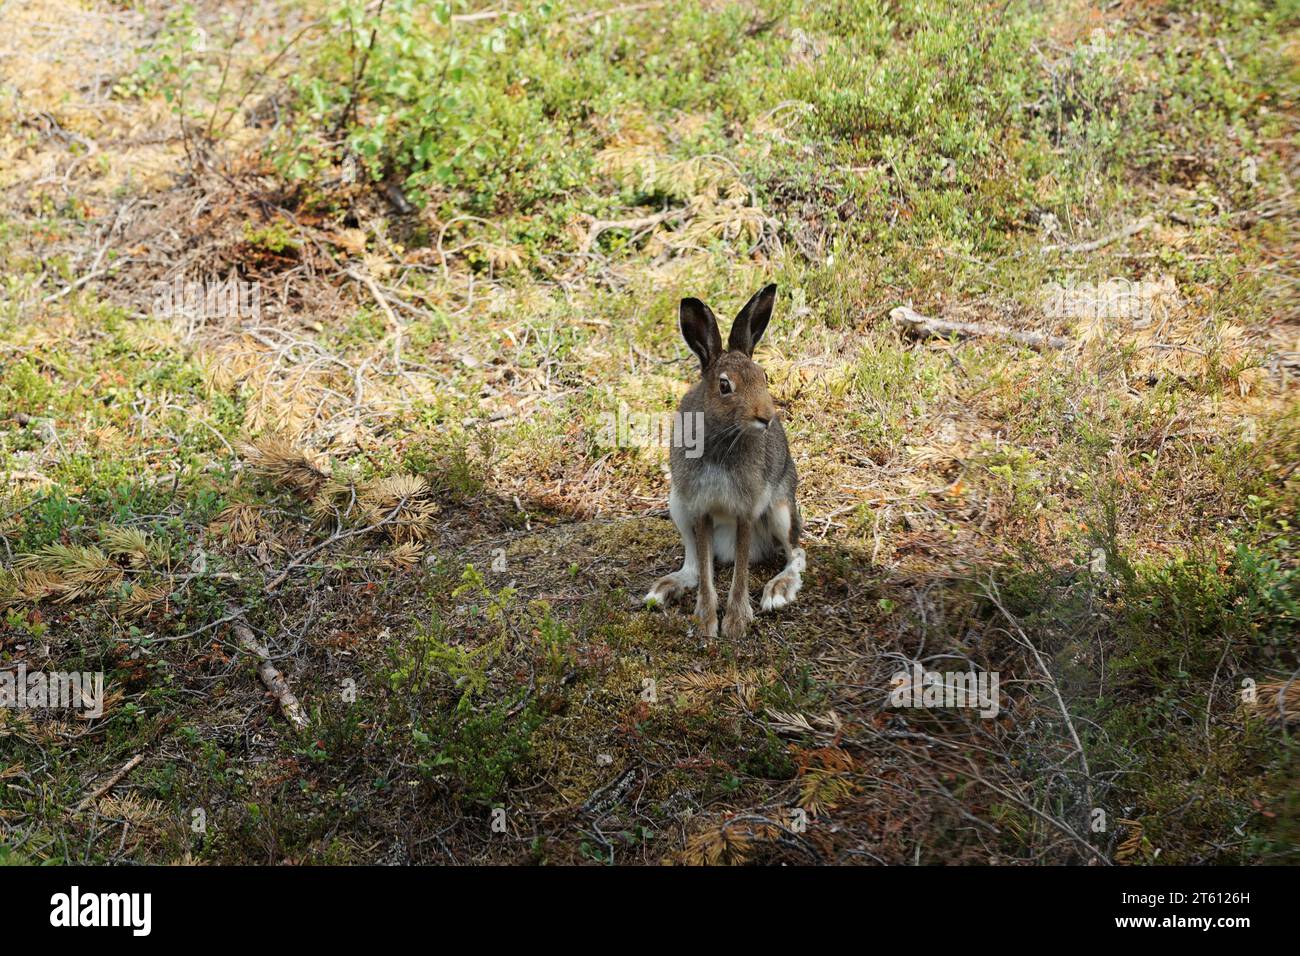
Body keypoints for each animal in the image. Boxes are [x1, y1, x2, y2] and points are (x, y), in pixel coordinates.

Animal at [645, 284, 805, 640]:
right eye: (724, 385)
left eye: (764, 376)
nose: (766, 417)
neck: (724, 434)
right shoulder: (700, 508)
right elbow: (706, 574)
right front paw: (706, 622)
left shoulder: (747, 509)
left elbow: (741, 572)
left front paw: (735, 623)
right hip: (678, 507)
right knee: (694, 563)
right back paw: (664, 589)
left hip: (781, 509)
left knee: (796, 553)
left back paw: (778, 590)